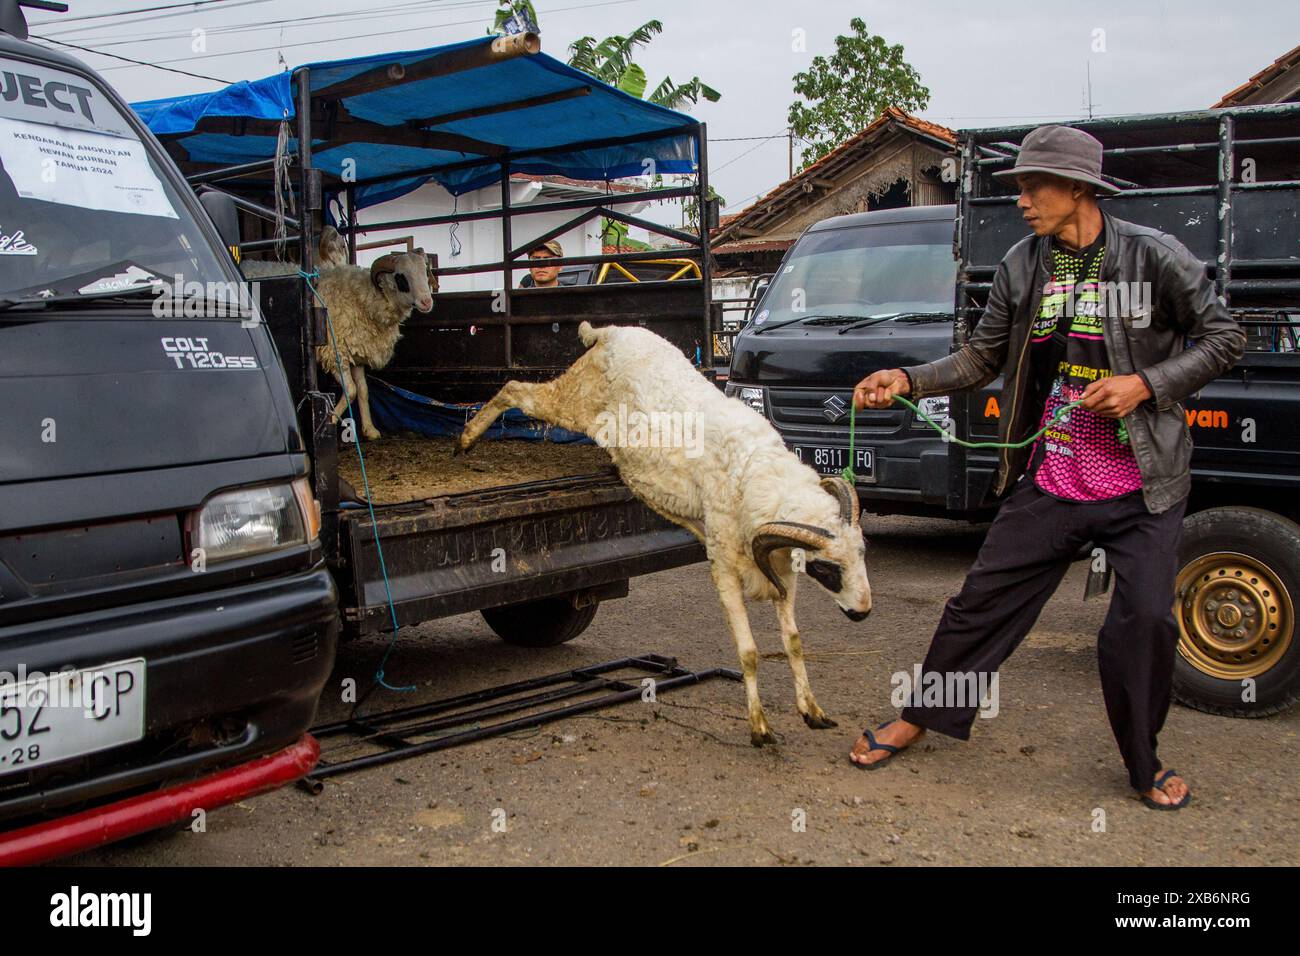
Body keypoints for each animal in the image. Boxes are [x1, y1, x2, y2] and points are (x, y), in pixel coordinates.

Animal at [299, 269, 410, 697]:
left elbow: (358, 389)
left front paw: (362, 428)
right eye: (401, 278)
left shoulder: (349, 351)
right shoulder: (343, 350)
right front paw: (346, 425)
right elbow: (355, 388)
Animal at [457, 321, 873, 749]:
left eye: (862, 553)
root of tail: (610, 332)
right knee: (516, 388)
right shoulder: (724, 565)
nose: (863, 612)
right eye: (826, 568)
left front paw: (813, 712)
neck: (754, 472)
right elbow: (749, 652)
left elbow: (793, 642)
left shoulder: (781, 575)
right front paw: (759, 728)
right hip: (574, 399)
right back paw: (466, 439)